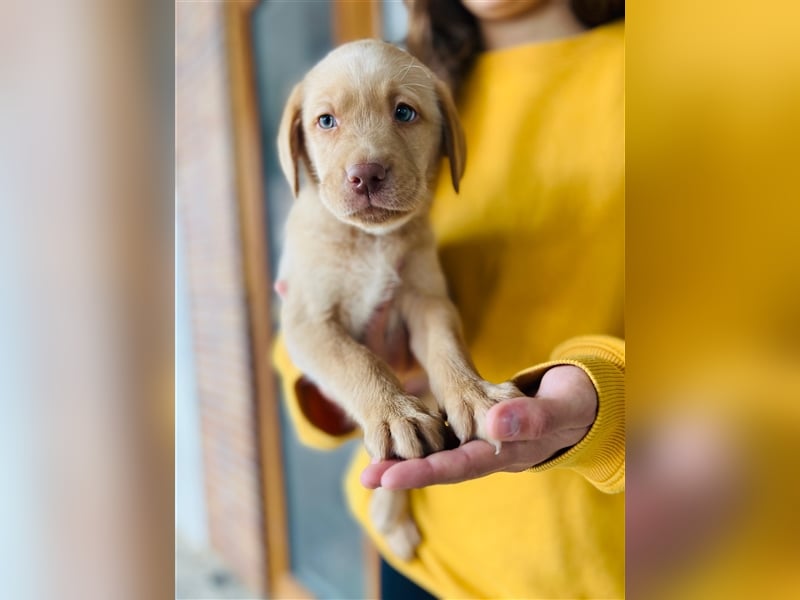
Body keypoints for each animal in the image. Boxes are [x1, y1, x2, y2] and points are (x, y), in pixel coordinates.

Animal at [278, 39, 520, 560]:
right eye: (326, 121)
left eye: (404, 112)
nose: (365, 175)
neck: (370, 242)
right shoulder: (308, 320)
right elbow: (357, 361)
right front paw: (394, 414)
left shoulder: (427, 300)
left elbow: (447, 350)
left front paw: (474, 394)